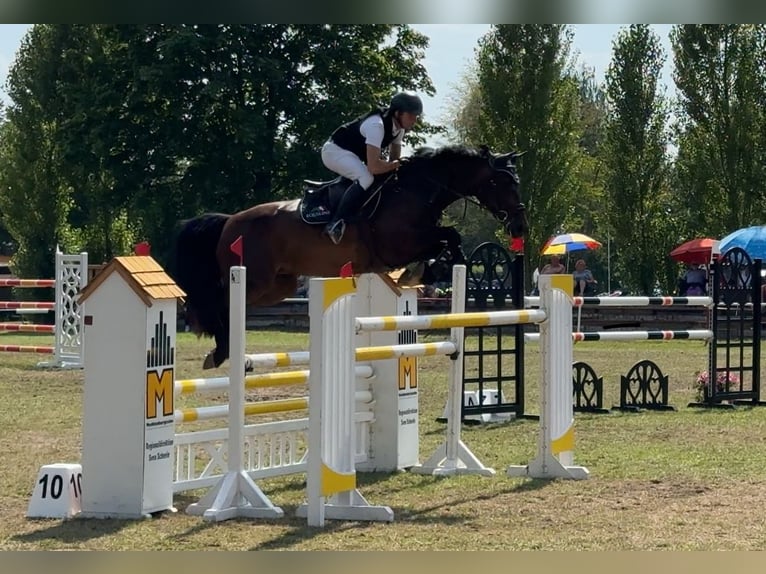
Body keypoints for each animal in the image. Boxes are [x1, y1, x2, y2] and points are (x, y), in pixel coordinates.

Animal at [172, 143, 528, 368]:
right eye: (502, 182)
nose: (520, 225)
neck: (415, 191)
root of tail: (230, 220)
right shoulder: (397, 245)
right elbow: (449, 236)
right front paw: (426, 270)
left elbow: (447, 240)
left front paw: (426, 271)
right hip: (254, 279)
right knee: (219, 302)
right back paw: (221, 351)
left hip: (279, 285)